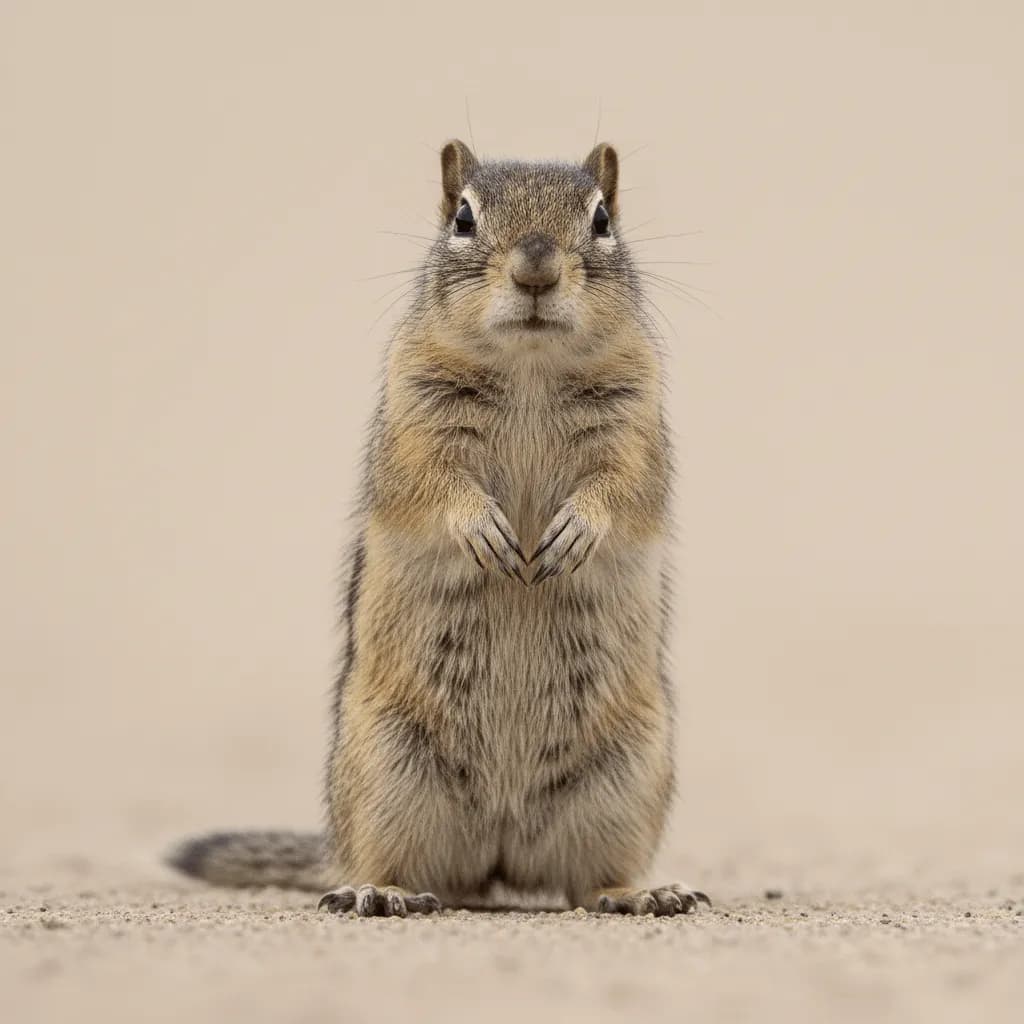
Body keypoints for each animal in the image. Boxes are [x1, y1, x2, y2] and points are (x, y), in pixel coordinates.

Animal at [167, 139, 709, 918]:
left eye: (602, 220)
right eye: (463, 218)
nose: (536, 268)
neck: (530, 366)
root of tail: (502, 854)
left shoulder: (638, 429)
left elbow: (624, 489)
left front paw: (576, 530)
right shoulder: (412, 426)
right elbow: (433, 485)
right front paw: (481, 528)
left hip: (628, 776)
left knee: (587, 881)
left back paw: (640, 892)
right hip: (388, 770)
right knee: (395, 864)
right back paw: (378, 890)